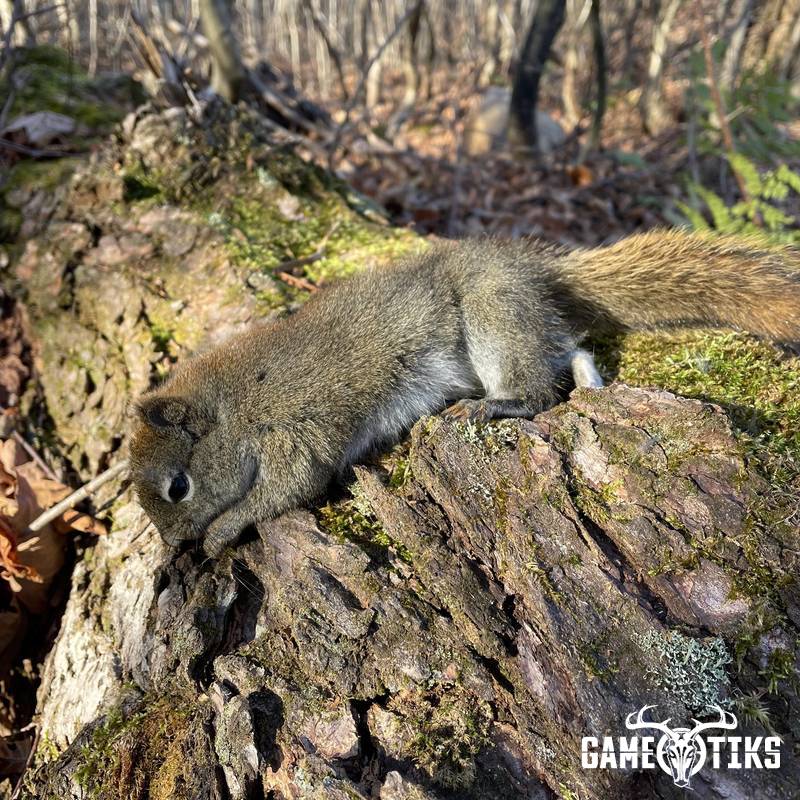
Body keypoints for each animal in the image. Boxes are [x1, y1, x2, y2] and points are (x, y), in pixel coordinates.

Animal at [129, 230, 800, 555]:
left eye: (178, 486)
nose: (175, 549)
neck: (237, 405)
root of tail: (532, 271)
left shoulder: (296, 432)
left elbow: (289, 487)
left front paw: (223, 530)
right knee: (570, 349)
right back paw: (590, 383)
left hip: (491, 316)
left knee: (540, 388)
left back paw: (501, 403)